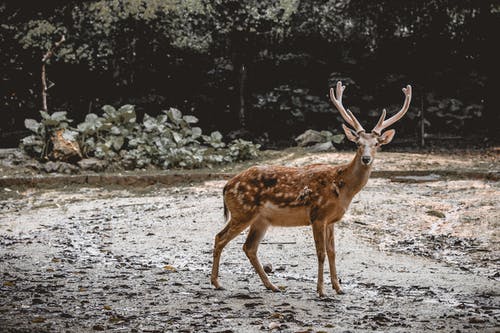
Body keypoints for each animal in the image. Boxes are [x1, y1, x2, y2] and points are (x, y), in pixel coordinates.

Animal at [209, 81, 412, 296]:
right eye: (357, 143)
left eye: (377, 144)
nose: (366, 158)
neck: (343, 188)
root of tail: (226, 186)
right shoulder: (317, 215)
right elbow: (321, 253)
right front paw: (321, 290)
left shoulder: (331, 220)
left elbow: (332, 252)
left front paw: (338, 288)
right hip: (243, 211)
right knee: (220, 237)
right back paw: (217, 282)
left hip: (261, 219)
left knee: (249, 247)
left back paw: (272, 285)